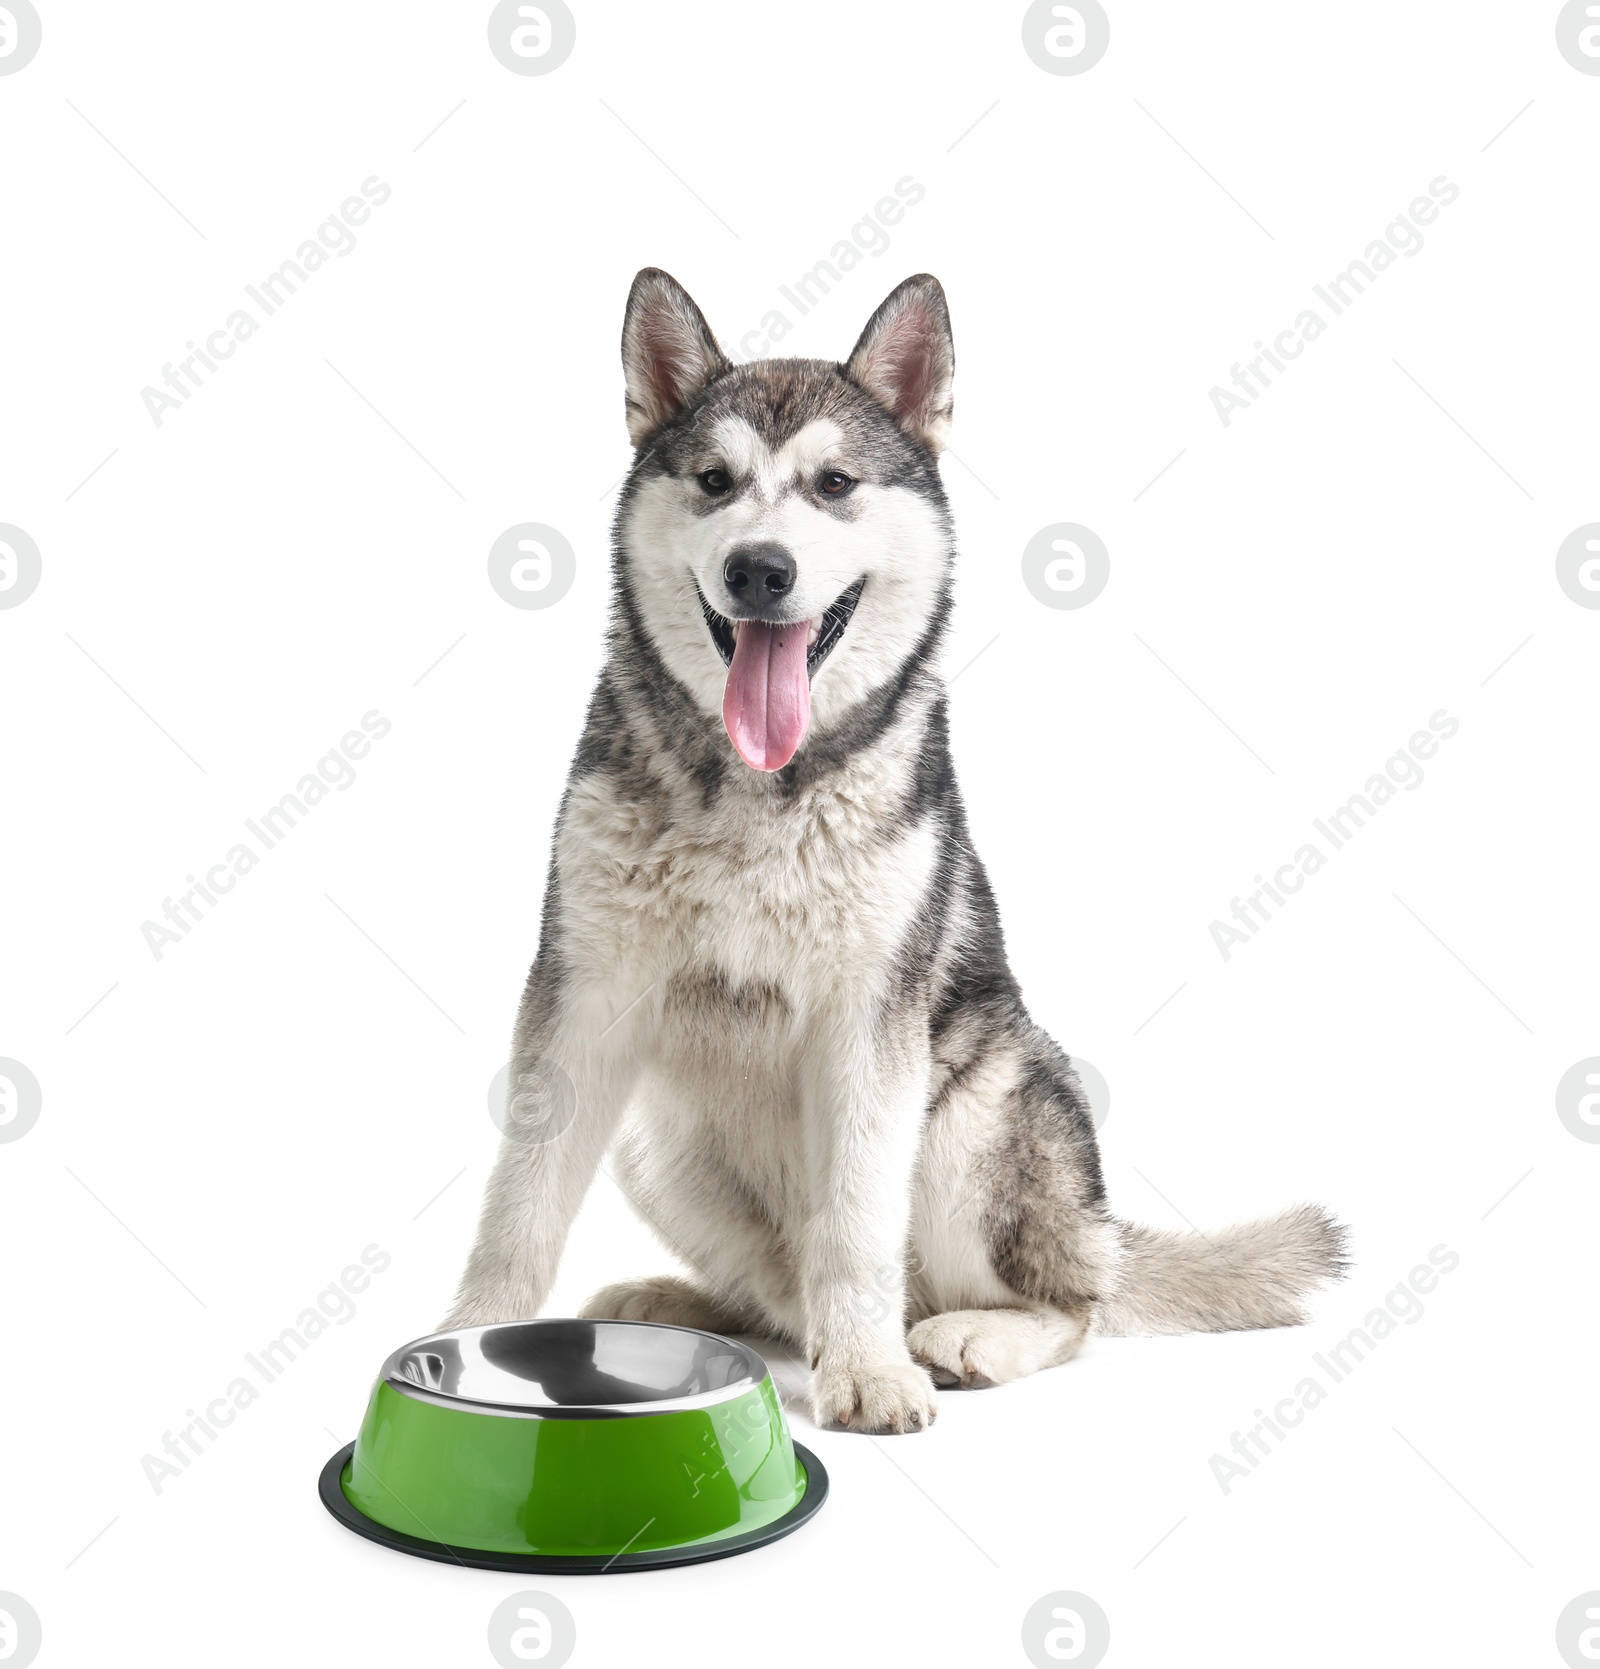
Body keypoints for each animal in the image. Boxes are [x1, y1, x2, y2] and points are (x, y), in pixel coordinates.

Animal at [440, 270, 1348, 1435]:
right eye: (714, 481)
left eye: (833, 484)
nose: (760, 568)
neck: (759, 789)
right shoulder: (582, 995)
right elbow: (520, 1200)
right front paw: (469, 1337)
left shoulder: (871, 1024)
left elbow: (857, 1227)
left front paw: (870, 1372)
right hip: (660, 1140)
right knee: (781, 1296)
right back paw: (691, 1304)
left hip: (977, 1119)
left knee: (1070, 1304)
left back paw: (970, 1335)